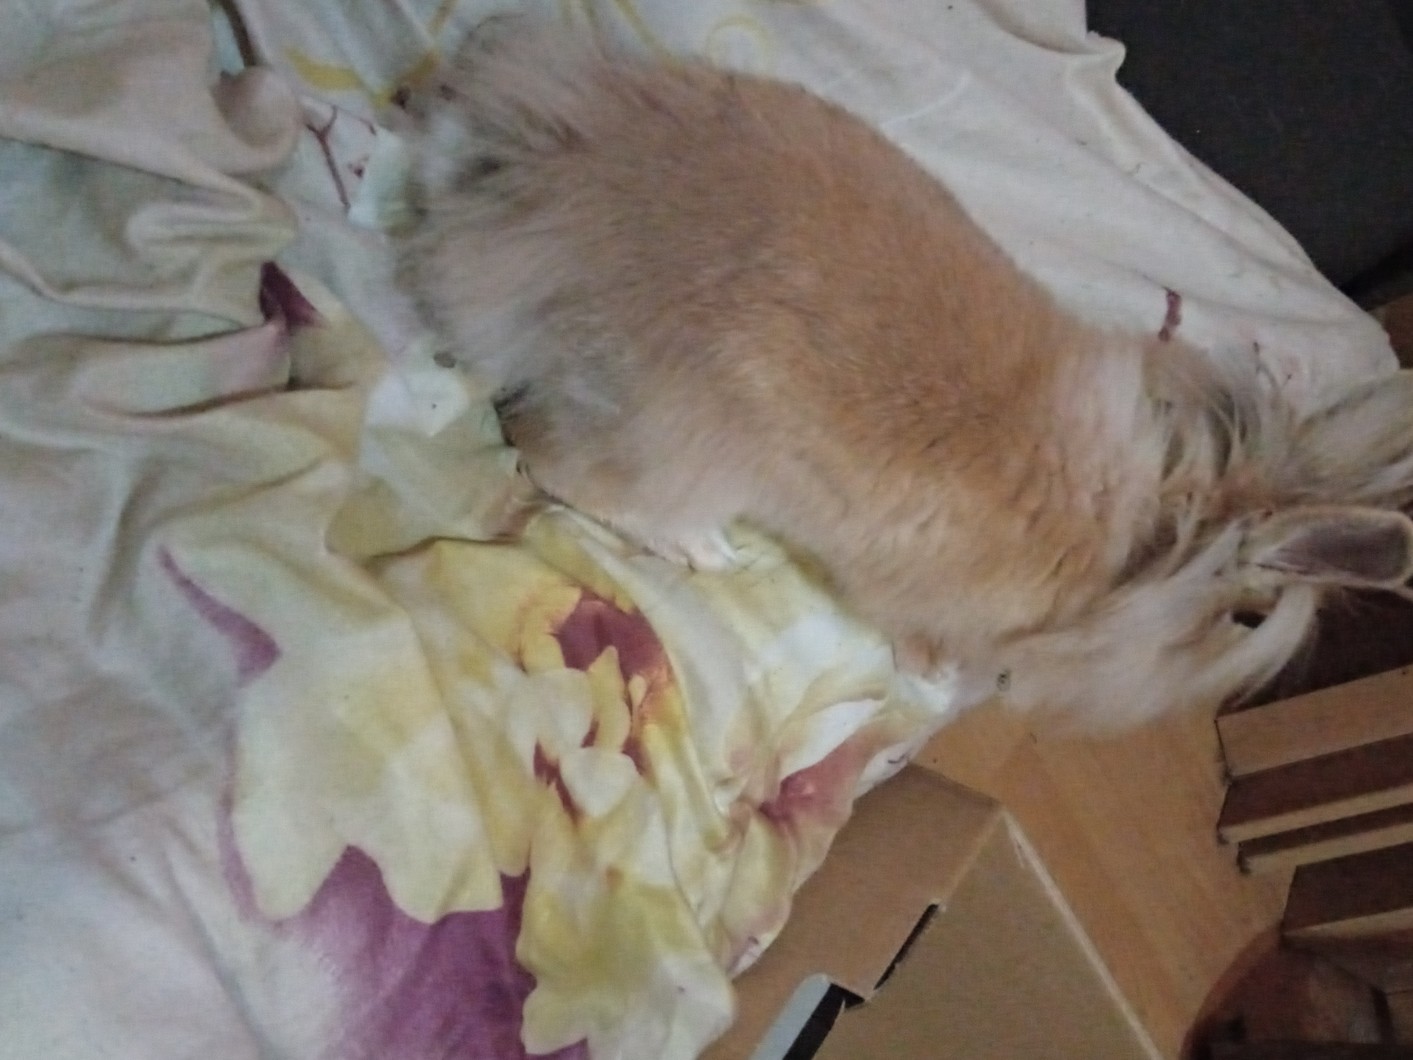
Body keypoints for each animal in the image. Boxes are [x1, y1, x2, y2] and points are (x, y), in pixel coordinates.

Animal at [396, 15, 1413, 726]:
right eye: (1242, 624)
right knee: (556, 462)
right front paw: (933, 677)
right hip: (682, 447)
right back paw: (703, 548)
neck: (1137, 546)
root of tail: (558, 188)